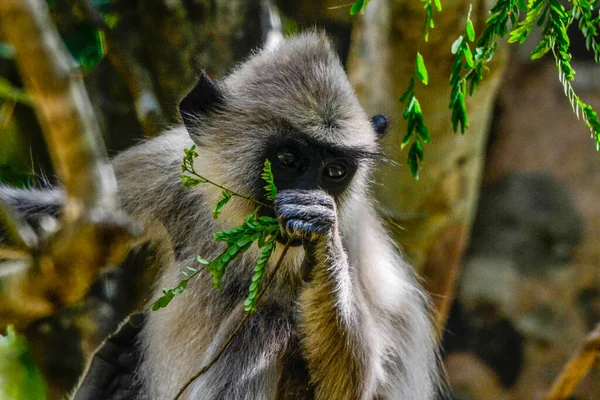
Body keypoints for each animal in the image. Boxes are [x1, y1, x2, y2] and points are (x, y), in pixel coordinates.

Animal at [0, 32, 440, 398]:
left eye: (334, 172)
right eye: (288, 158)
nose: (310, 192)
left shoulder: (351, 230)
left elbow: (354, 384)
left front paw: (317, 236)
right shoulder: (166, 165)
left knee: (266, 319)